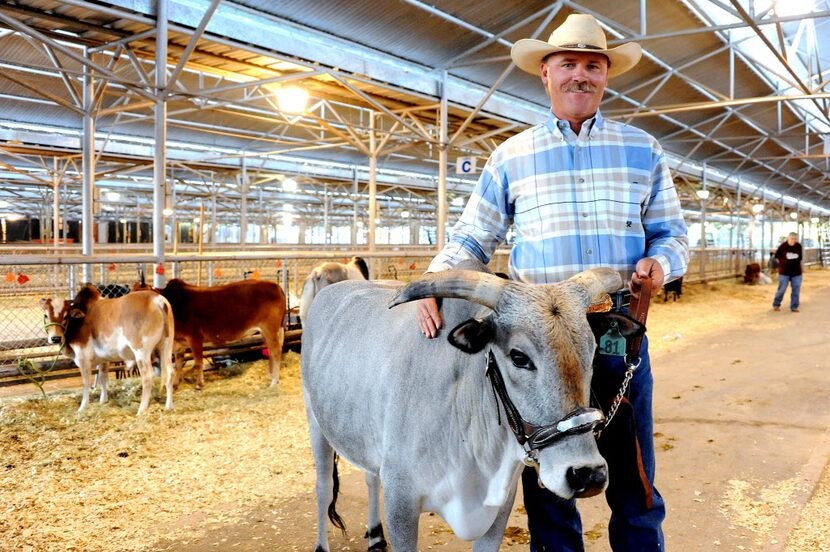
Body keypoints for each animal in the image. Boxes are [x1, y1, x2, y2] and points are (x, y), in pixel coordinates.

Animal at [41, 284, 175, 414]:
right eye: (46, 315)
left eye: (66, 316)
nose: (55, 338)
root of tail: (157, 300)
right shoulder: (103, 359)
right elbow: (102, 377)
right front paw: (103, 400)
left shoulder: (83, 358)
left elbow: (86, 383)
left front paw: (82, 408)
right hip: (166, 346)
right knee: (170, 372)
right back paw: (168, 406)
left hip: (141, 352)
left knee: (147, 377)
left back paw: (141, 410)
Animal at [300, 266, 644, 548]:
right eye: (519, 356)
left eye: (593, 353)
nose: (587, 474)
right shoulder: (401, 504)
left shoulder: (499, 511)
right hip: (316, 424)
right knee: (323, 487)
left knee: (370, 476)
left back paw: (374, 536)